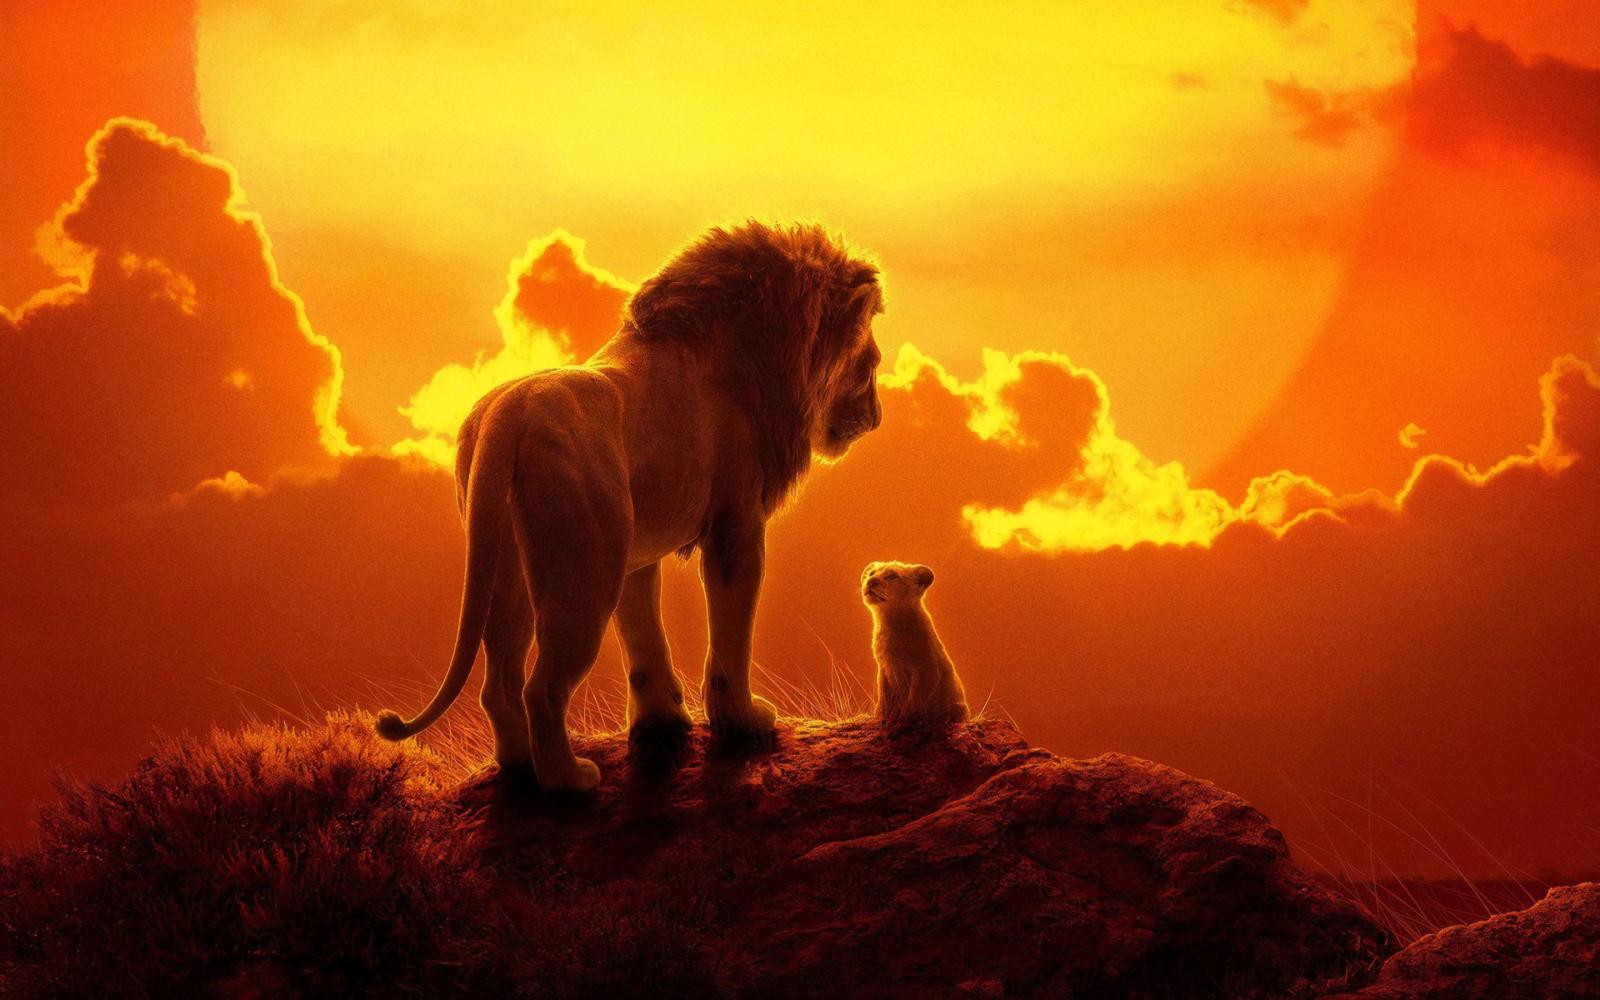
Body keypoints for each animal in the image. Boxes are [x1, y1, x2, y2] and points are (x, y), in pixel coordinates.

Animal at [376, 222, 885, 792]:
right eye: (871, 364)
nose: (877, 416)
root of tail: (508, 416)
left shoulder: (636, 551)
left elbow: (643, 638)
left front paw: (662, 721)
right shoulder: (736, 524)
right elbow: (730, 634)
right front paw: (743, 721)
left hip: (510, 565)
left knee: (500, 681)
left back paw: (519, 766)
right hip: (583, 574)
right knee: (542, 688)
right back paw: (569, 781)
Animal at [861, 561, 968, 730]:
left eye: (892, 576)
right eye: (872, 573)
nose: (871, 581)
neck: (889, 622)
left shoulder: (926, 669)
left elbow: (915, 699)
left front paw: (905, 720)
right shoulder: (884, 668)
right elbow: (884, 697)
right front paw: (881, 717)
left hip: (959, 707)